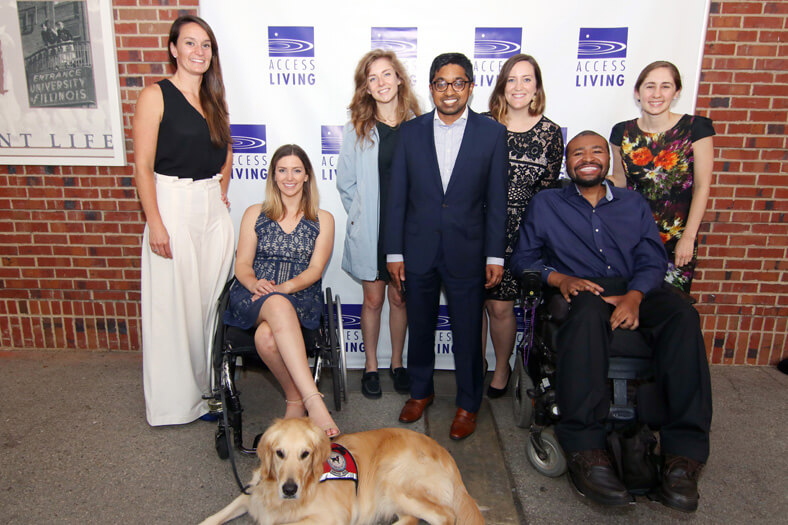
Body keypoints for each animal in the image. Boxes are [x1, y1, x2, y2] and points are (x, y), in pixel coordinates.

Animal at [200, 418, 484, 524]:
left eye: (305, 454)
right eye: (279, 453)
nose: (289, 489)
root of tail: (446, 453)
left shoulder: (331, 517)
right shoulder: (251, 495)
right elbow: (215, 516)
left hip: (392, 480)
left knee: (445, 516)